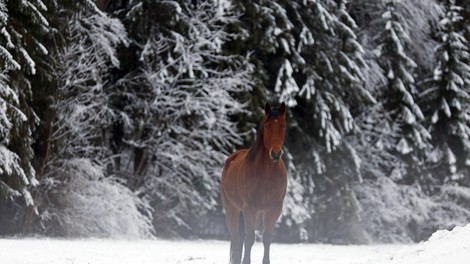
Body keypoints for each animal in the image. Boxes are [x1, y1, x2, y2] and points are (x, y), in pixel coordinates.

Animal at [220, 101, 286, 264]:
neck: (267, 174)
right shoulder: (250, 208)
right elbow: (249, 239)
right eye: (267, 125)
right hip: (232, 209)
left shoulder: (273, 209)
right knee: (236, 238)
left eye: (283, 126)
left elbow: (267, 238)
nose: (275, 154)